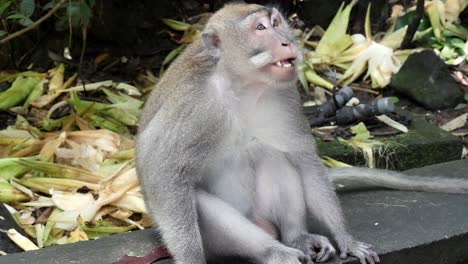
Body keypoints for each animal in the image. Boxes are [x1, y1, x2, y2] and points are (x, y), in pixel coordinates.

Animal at [135, 2, 468, 264]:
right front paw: (191, 258)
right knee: (200, 203)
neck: (244, 85)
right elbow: (164, 173)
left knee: (276, 157)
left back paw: (297, 238)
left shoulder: (285, 95)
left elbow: (304, 159)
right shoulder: (194, 108)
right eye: (259, 28)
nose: (286, 42)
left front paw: (346, 238)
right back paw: (274, 252)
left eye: (275, 23)